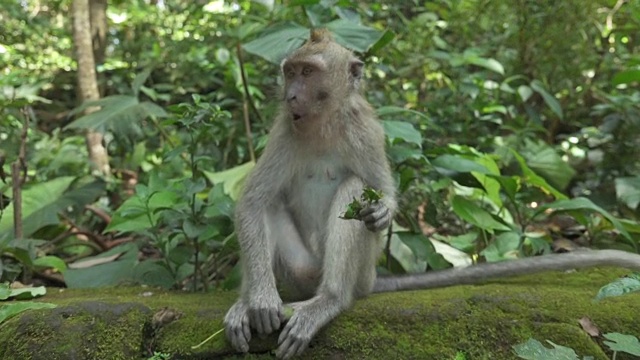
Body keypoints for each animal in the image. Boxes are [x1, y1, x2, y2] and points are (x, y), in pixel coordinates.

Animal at [224, 28, 640, 360]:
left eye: (309, 72)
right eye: (291, 72)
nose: (291, 95)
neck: (323, 124)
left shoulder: (366, 130)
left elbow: (379, 192)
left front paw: (382, 212)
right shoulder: (283, 130)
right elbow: (252, 203)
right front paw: (260, 300)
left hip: (360, 274)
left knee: (354, 190)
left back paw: (330, 300)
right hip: (302, 270)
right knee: (271, 206)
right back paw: (247, 303)